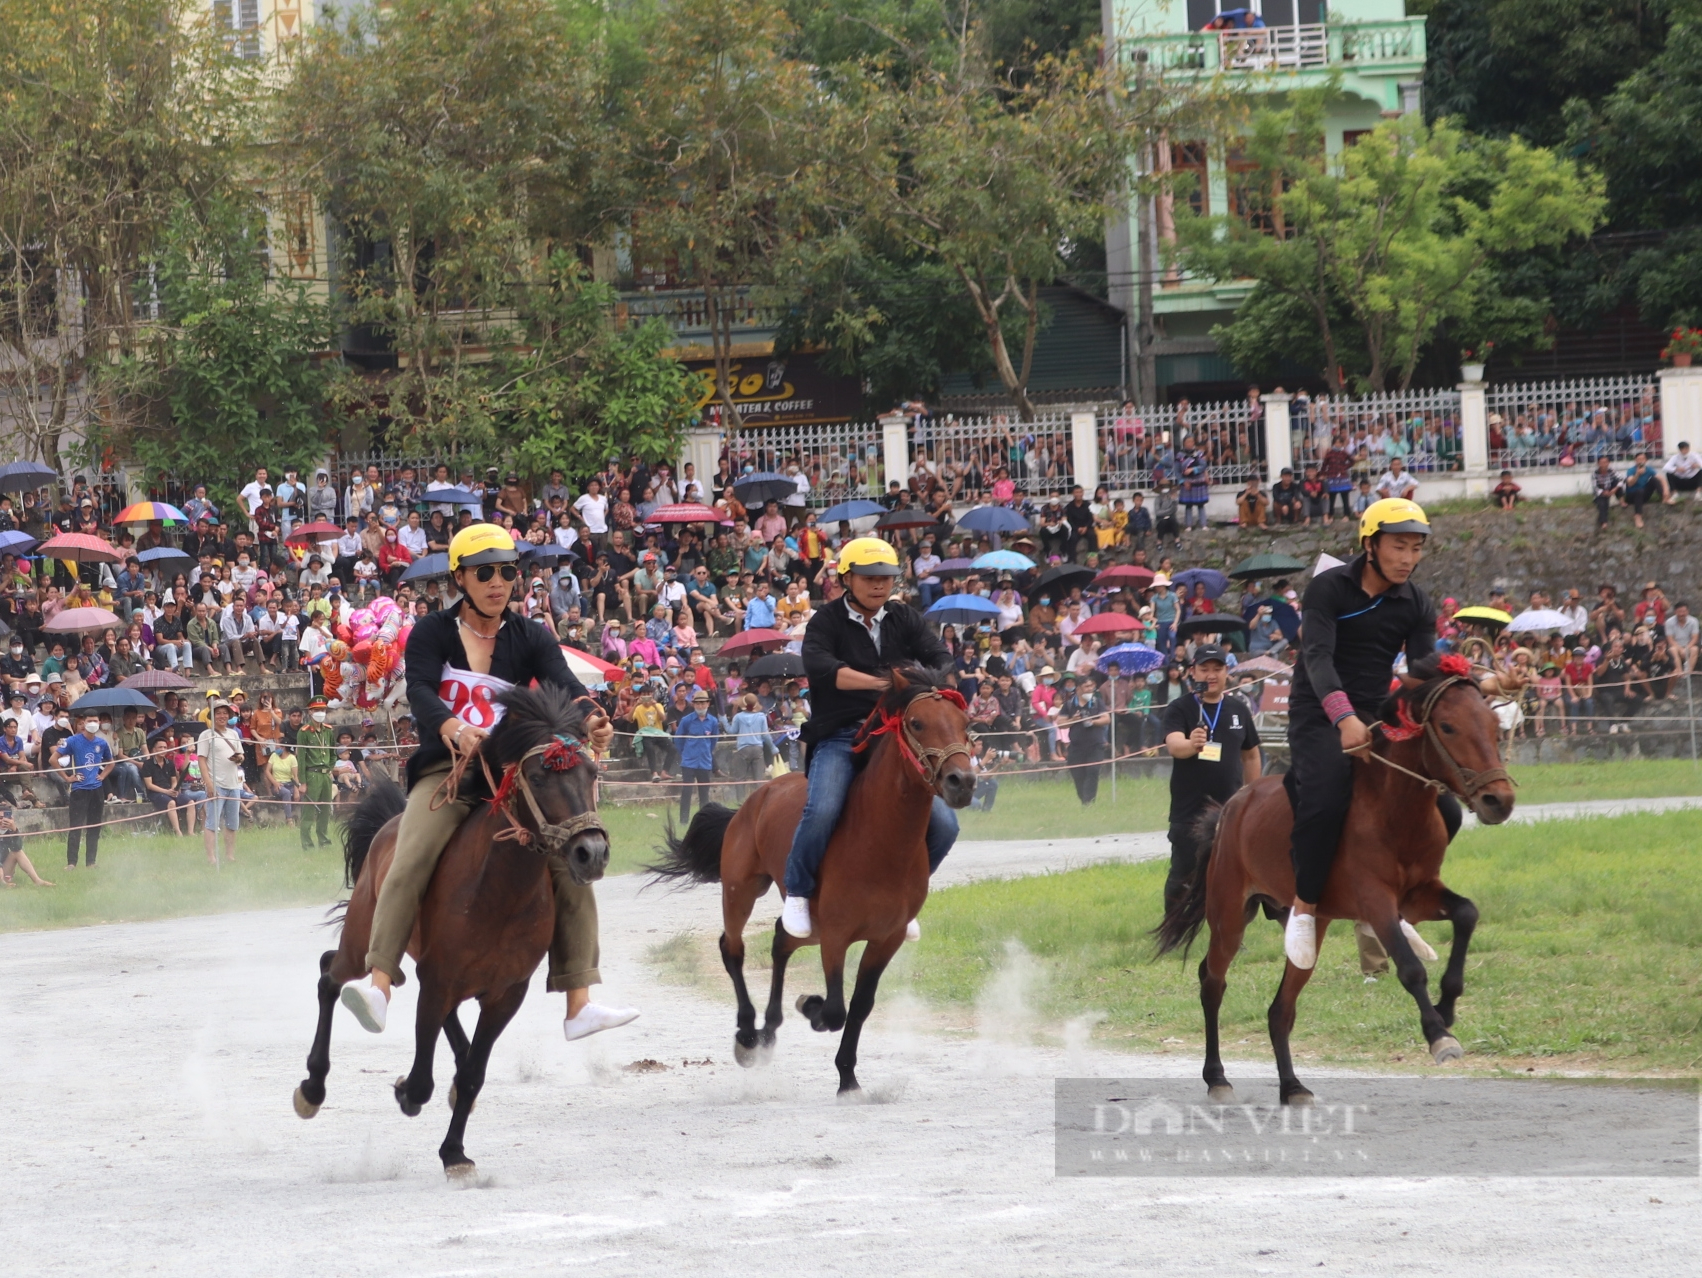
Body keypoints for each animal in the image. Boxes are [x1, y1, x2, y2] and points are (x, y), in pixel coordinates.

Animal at [294, 690, 612, 1177]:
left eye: (592, 773)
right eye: (539, 776)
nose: (590, 851)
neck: (499, 891)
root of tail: (388, 826)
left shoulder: (505, 993)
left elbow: (473, 1073)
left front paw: (455, 1152)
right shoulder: (440, 978)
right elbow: (422, 1079)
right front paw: (408, 1094)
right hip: (364, 938)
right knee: (330, 974)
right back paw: (313, 1087)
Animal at [646, 663, 973, 1095]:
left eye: (965, 723)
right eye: (917, 723)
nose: (962, 781)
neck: (881, 839)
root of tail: (756, 796)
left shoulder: (886, 939)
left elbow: (860, 1006)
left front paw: (848, 1078)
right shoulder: (836, 934)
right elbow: (834, 1010)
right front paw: (811, 1007)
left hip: (807, 923)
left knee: (782, 940)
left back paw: (768, 1031)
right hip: (742, 889)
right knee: (732, 948)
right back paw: (748, 1034)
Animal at [1157, 653, 1518, 1102]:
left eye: (1493, 724)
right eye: (1449, 727)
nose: (1498, 800)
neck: (1394, 808)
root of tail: (1231, 806)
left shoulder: (1418, 895)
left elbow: (1467, 913)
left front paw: (1447, 1006)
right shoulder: (1376, 900)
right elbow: (1410, 968)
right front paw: (1438, 1034)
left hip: (1314, 923)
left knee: (1281, 1010)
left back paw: (1292, 1086)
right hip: (1228, 914)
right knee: (1212, 981)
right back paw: (1217, 1077)